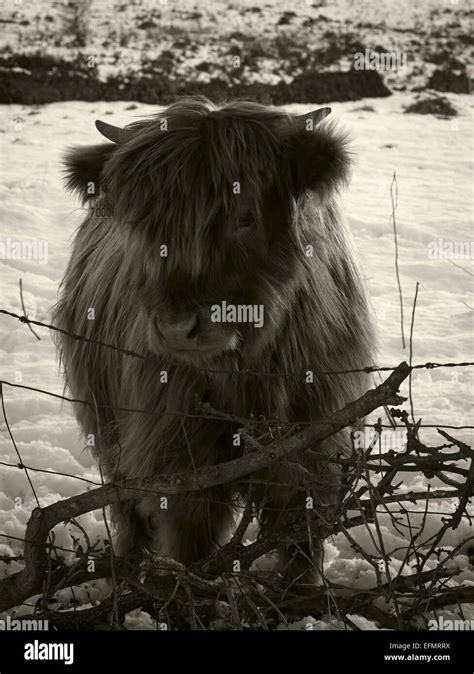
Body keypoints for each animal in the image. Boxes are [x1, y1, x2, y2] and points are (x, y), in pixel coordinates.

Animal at [54, 96, 374, 584]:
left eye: (245, 216)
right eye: (141, 223)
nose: (175, 327)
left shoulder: (316, 444)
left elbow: (301, 538)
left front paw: (302, 593)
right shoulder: (178, 458)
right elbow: (192, 541)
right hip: (104, 420)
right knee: (124, 502)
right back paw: (127, 569)